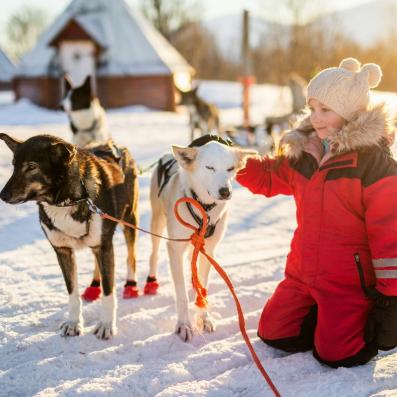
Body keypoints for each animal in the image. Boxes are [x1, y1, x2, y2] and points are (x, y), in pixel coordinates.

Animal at [147, 135, 255, 342]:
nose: (225, 191)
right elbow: (181, 295)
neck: (203, 208)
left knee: (193, 261)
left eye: (230, 168)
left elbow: (203, 285)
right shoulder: (175, 249)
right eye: (210, 167)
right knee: (154, 254)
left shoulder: (209, 250)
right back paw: (151, 281)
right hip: (157, 222)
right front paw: (184, 325)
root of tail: (166, 156)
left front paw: (204, 318)